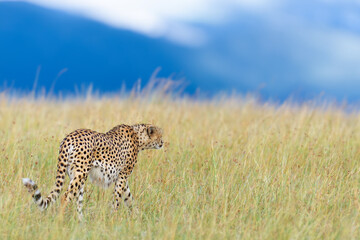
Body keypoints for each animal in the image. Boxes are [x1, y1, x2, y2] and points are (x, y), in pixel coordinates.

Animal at [22, 124, 163, 219]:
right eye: (160, 135)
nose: (162, 142)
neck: (138, 137)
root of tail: (68, 137)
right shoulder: (123, 175)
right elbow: (117, 199)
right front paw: (114, 218)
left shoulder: (121, 177)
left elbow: (128, 197)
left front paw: (137, 215)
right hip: (80, 174)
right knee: (65, 197)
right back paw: (61, 221)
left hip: (76, 175)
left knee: (78, 201)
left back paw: (81, 223)